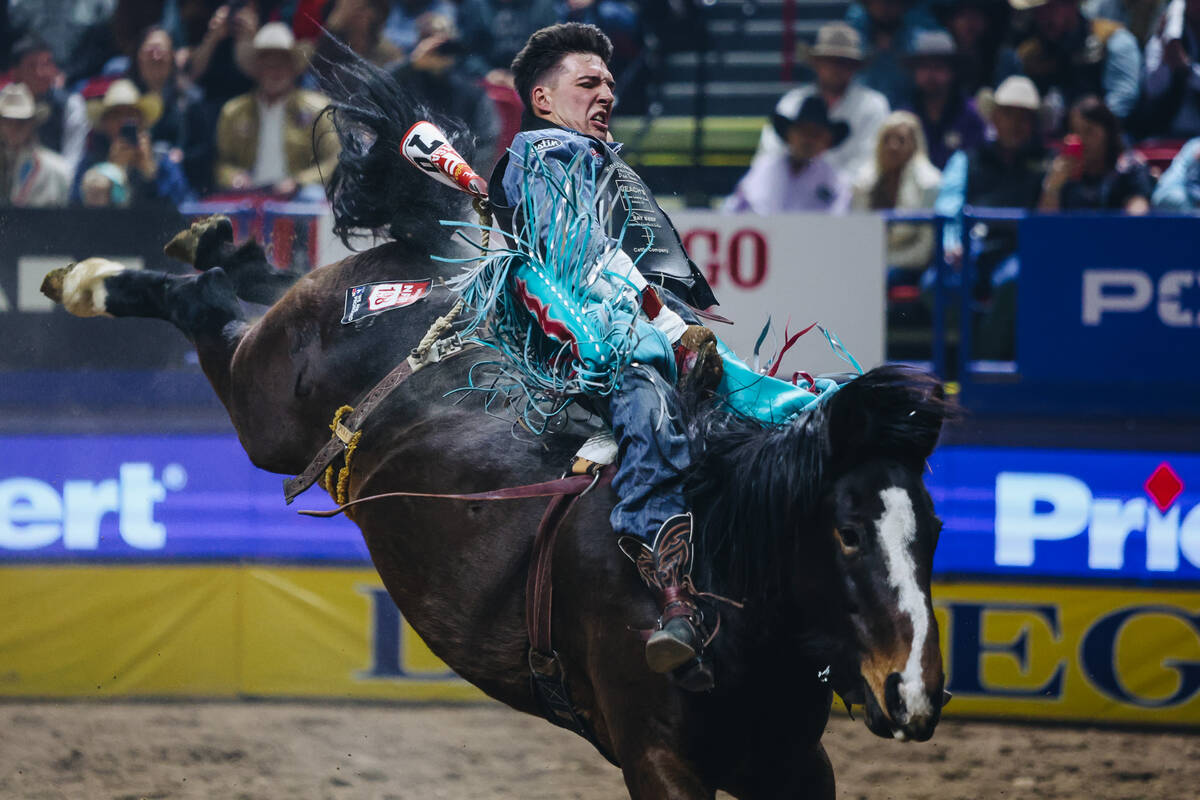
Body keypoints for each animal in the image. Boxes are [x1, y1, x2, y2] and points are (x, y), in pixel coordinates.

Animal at [37, 57, 950, 800]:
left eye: (935, 531)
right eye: (844, 533)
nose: (911, 693)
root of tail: (440, 272)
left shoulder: (795, 766)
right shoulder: (659, 760)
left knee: (242, 279)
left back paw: (214, 237)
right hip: (265, 401)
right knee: (204, 307)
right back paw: (96, 276)